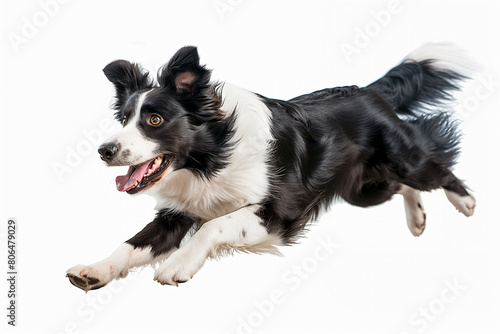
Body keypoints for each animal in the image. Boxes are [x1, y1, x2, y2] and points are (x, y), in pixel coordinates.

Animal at [66, 43, 476, 290]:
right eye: (123, 119)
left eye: (154, 120)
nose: (104, 150)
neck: (210, 160)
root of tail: (368, 90)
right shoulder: (175, 214)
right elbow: (131, 244)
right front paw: (95, 270)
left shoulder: (277, 213)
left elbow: (214, 225)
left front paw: (178, 265)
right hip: (364, 188)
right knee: (401, 185)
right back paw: (417, 218)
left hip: (401, 160)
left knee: (434, 167)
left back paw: (466, 201)